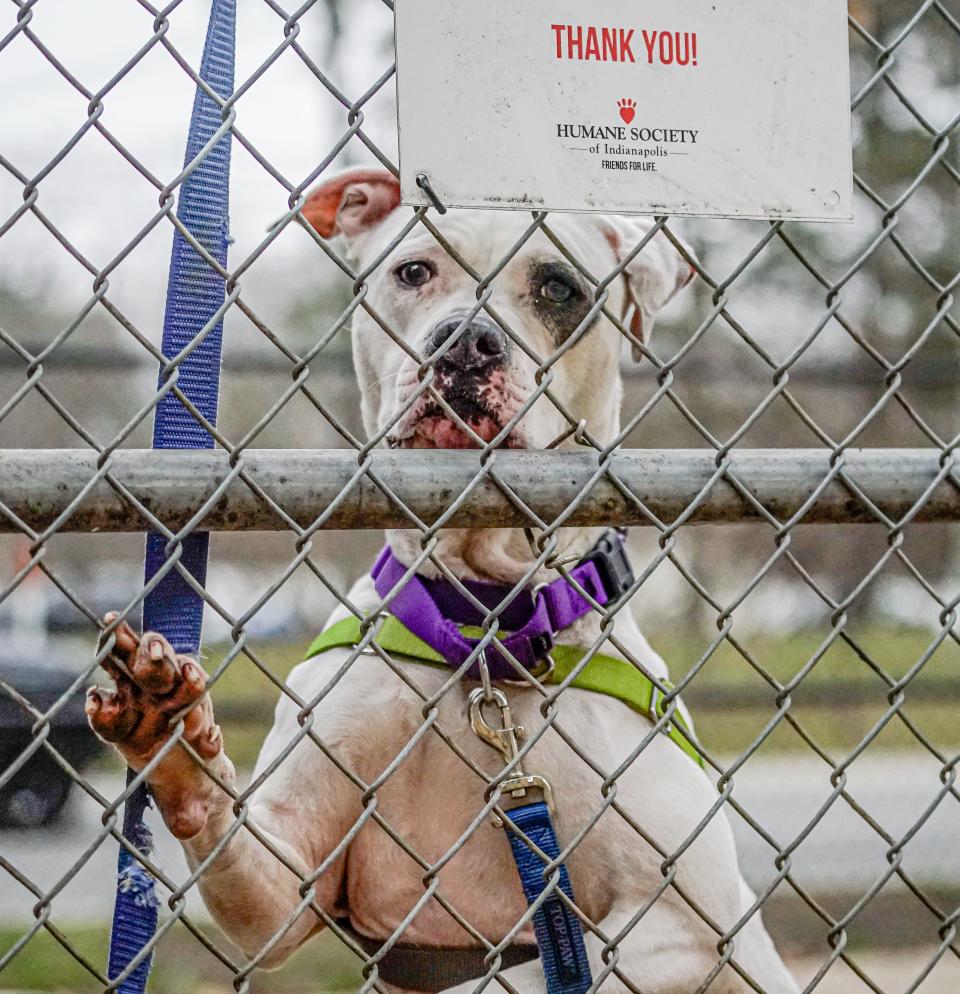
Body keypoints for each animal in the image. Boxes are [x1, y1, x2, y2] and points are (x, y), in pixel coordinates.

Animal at [88, 169, 796, 992]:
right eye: (413, 272)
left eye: (558, 287)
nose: (467, 341)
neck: (483, 622)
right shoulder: (288, 880)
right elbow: (239, 844)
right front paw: (170, 734)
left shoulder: (686, 922)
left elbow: (525, 969)